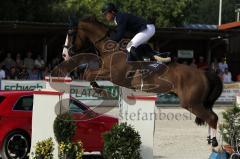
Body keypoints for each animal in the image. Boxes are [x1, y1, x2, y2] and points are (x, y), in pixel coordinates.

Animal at [52, 16, 223, 147]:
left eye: (71, 33)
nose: (64, 54)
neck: (111, 49)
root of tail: (204, 73)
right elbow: (88, 73)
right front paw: (98, 88)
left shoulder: (114, 75)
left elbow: (88, 74)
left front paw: (101, 90)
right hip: (196, 103)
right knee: (211, 116)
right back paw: (209, 139)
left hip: (191, 103)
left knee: (212, 118)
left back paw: (214, 142)